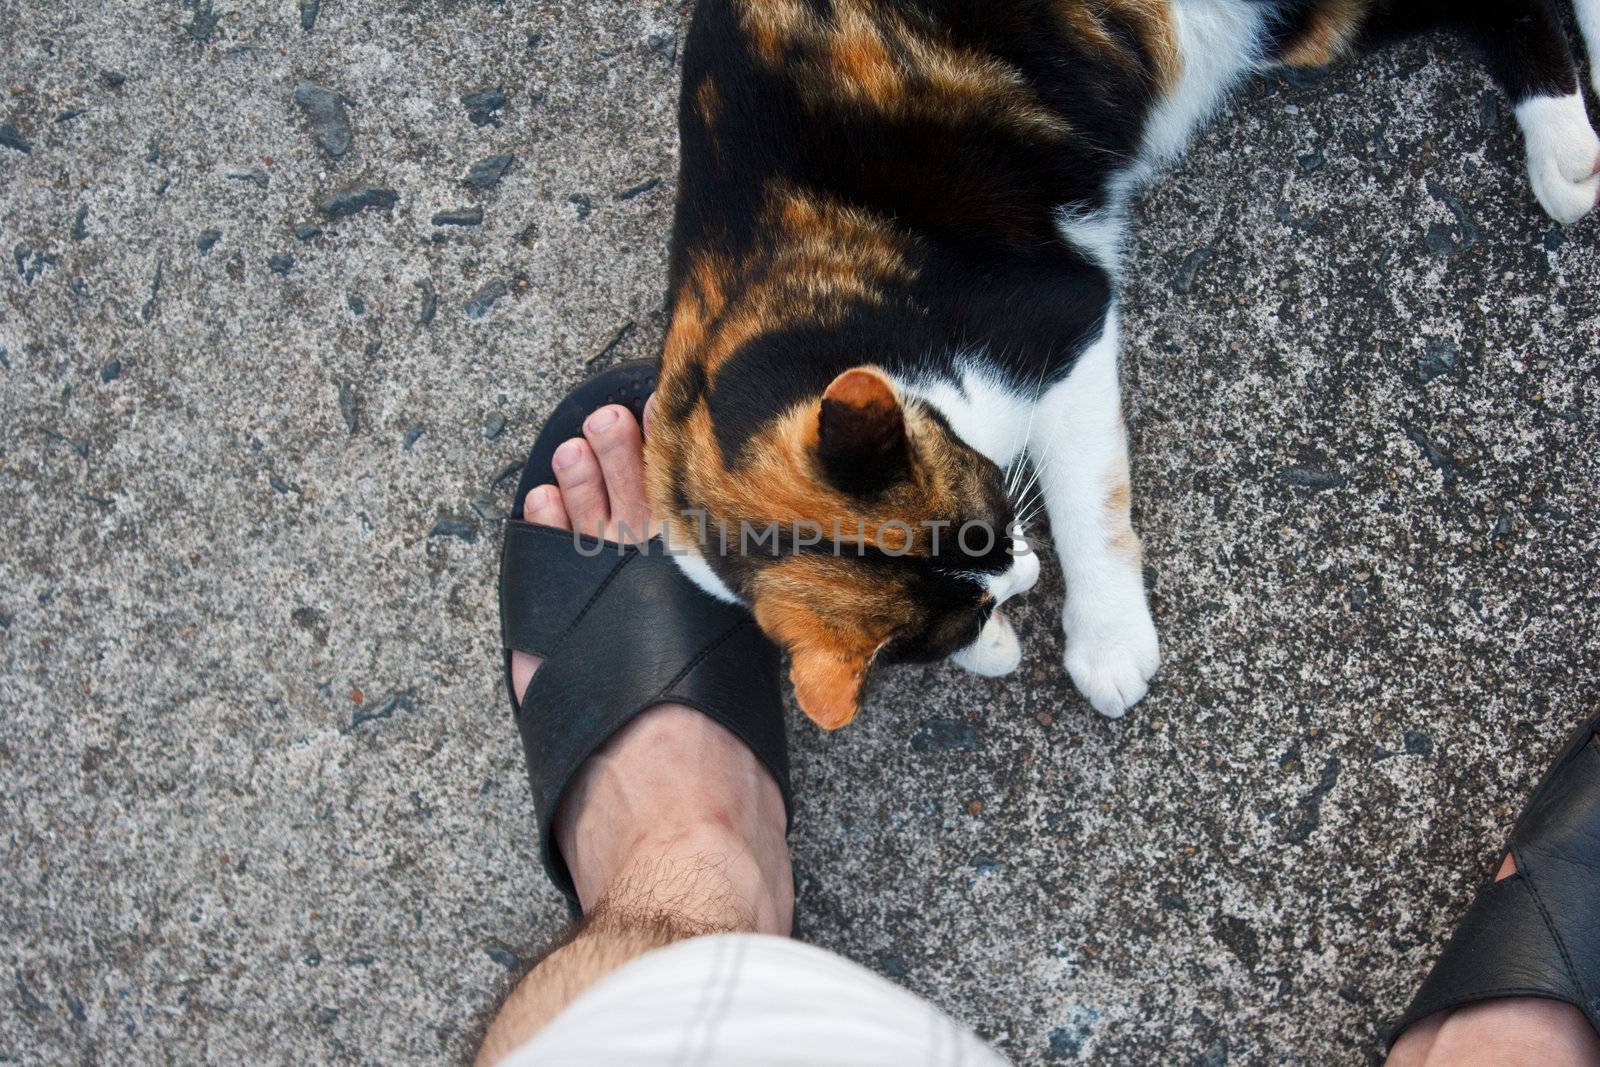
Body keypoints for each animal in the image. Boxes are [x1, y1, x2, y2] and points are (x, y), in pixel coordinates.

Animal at [640, 0, 1600, 729]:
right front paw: (995, 647)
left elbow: (1087, 499)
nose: (1023, 576)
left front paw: (1104, 638)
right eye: (966, 601)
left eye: (993, 515)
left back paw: (1565, 153)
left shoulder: (1060, 324)